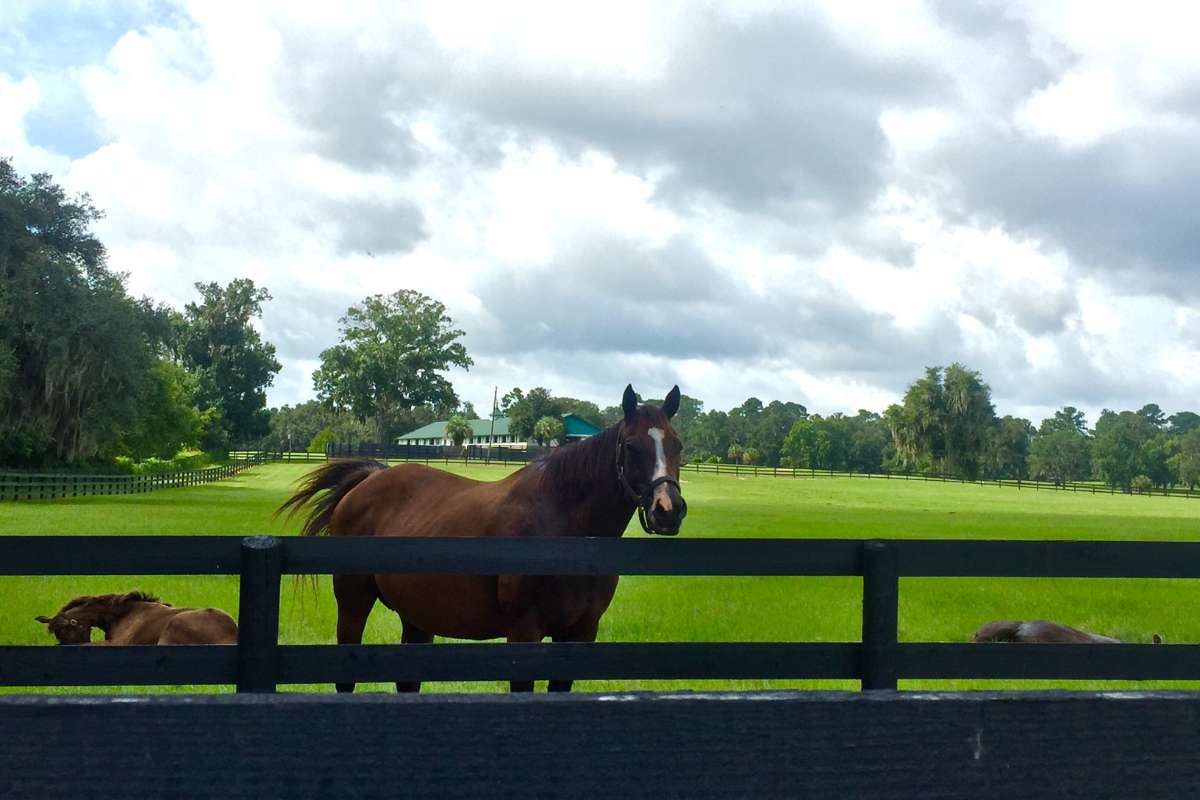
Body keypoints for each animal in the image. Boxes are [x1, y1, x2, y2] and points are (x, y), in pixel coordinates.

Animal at [279, 384, 688, 693]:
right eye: (632, 446)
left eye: (678, 445)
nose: (668, 509)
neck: (560, 525)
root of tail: (371, 477)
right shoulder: (524, 634)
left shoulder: (579, 635)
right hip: (353, 602)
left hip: (416, 616)